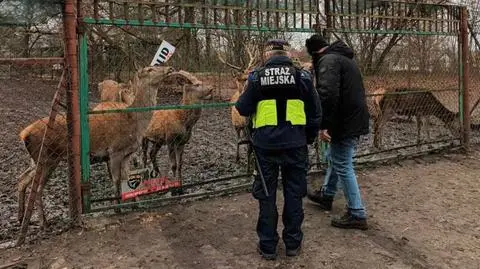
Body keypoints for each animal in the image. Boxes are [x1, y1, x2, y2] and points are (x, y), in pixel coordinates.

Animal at [17, 65, 177, 226]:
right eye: (150, 69)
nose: (169, 68)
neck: (134, 123)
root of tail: (24, 134)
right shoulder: (115, 151)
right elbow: (116, 180)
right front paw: (117, 208)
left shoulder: (127, 154)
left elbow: (126, 177)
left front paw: (134, 204)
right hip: (48, 158)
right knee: (37, 188)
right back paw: (43, 222)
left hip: (36, 160)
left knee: (23, 179)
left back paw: (21, 217)